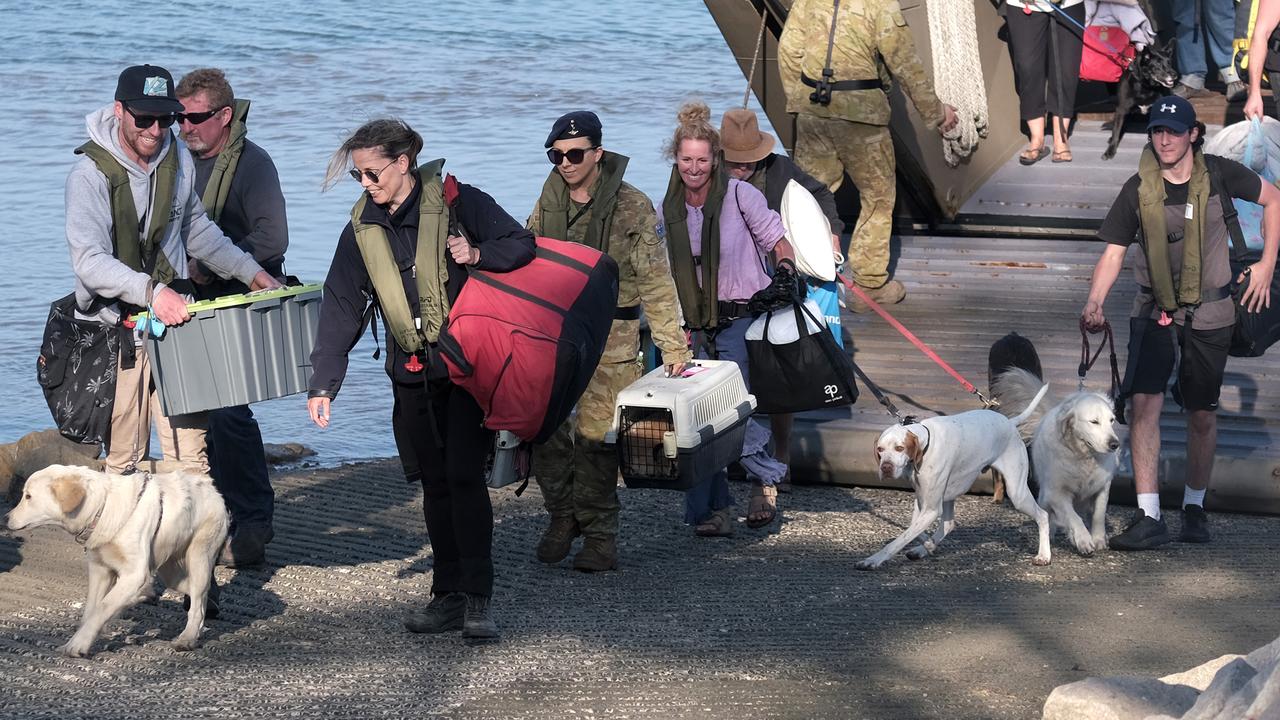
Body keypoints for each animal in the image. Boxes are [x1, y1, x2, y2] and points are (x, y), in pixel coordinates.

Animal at [5, 461, 229, 653]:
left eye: (28, 496)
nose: (6, 518)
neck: (103, 508)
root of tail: (212, 488)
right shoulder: (99, 569)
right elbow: (91, 610)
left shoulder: (134, 573)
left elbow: (103, 606)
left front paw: (77, 644)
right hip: (172, 572)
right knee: (197, 594)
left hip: (198, 558)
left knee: (198, 604)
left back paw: (187, 638)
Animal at [860, 384, 1049, 568]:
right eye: (880, 450)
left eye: (899, 448)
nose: (886, 467)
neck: (926, 443)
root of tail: (1009, 422)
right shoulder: (923, 500)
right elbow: (914, 529)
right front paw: (928, 545)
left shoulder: (931, 508)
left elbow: (900, 540)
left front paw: (873, 559)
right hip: (950, 494)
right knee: (948, 524)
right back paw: (922, 549)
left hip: (1017, 495)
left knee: (1043, 515)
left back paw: (1044, 555)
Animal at [988, 368, 1121, 556]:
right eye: (1094, 422)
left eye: (1112, 420)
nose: (1115, 444)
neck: (1083, 456)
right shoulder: (1056, 492)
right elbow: (1073, 517)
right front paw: (1083, 539)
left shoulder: (1102, 485)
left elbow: (1099, 514)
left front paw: (1098, 538)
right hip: (1043, 496)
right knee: (1048, 515)